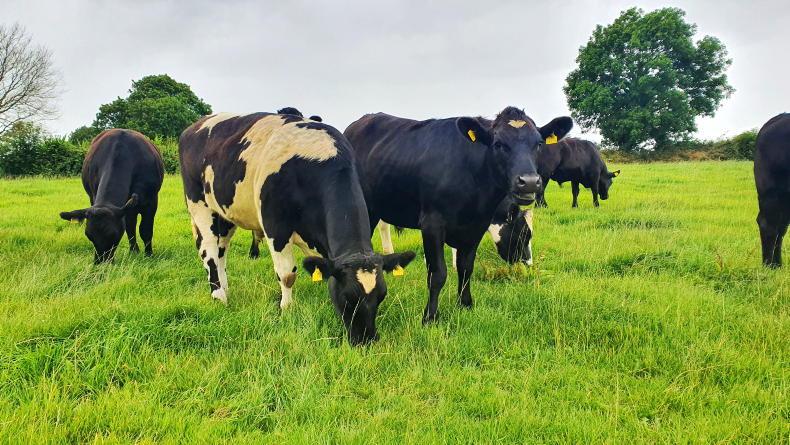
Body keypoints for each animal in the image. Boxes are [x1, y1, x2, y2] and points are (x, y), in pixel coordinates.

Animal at [59, 129, 164, 264]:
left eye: (113, 234)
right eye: (89, 235)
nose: (101, 262)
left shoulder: (151, 201)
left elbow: (145, 230)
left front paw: (149, 255)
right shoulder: (94, 198)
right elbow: (130, 228)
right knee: (130, 225)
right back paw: (133, 251)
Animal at [179, 112, 415, 345]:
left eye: (381, 295)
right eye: (347, 297)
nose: (366, 339)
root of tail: (194, 127)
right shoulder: (275, 227)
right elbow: (287, 275)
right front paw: (286, 309)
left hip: (225, 212)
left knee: (222, 249)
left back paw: (225, 286)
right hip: (198, 202)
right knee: (209, 249)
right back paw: (218, 295)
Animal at [344, 107, 572, 324]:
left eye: (539, 144)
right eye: (498, 144)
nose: (530, 182)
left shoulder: (476, 227)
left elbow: (466, 267)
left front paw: (465, 305)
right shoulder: (432, 224)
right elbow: (437, 273)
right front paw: (430, 317)